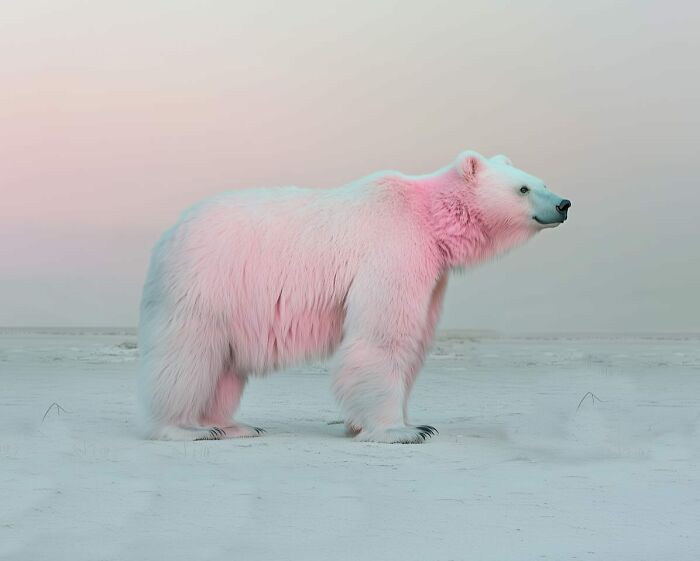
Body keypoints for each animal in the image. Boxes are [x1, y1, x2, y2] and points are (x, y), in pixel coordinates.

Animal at [138, 151, 571, 443]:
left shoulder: (432, 274)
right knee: (190, 353)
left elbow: (415, 340)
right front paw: (402, 430)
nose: (564, 204)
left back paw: (234, 425)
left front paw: (411, 422)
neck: (426, 217)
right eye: (523, 188)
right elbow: (384, 337)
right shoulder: (393, 250)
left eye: (542, 181)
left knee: (226, 366)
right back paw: (186, 427)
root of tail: (170, 232)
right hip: (208, 281)